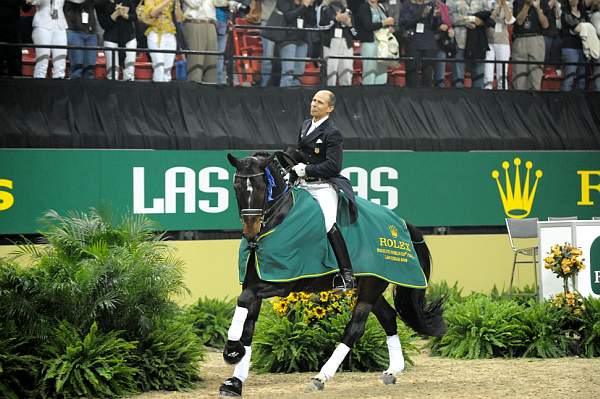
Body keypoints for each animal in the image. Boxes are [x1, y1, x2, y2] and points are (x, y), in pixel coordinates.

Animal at [220, 152, 446, 396]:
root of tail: (400, 222)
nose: (250, 232)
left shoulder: (281, 282)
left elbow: (244, 301)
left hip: (370, 288)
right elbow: (248, 326)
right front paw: (234, 382)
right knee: (388, 316)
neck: (279, 219)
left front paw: (231, 351)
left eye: (262, 186)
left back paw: (321, 376)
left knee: (355, 328)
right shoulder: (254, 281)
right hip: (369, 284)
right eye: (236, 186)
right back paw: (393, 370)